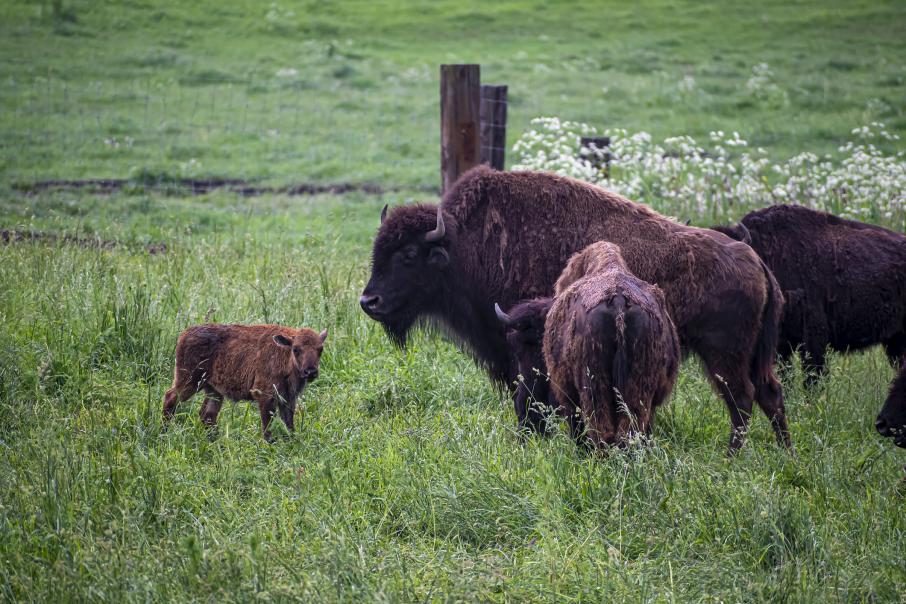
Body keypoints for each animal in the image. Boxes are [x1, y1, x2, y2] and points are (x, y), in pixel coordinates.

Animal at [162, 324, 324, 442]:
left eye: (320, 349)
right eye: (296, 349)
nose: (310, 371)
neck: (285, 355)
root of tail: (184, 335)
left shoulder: (288, 398)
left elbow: (289, 422)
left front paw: (292, 440)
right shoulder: (265, 395)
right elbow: (268, 423)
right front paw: (269, 442)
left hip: (213, 391)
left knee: (207, 415)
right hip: (189, 381)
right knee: (170, 398)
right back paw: (164, 432)